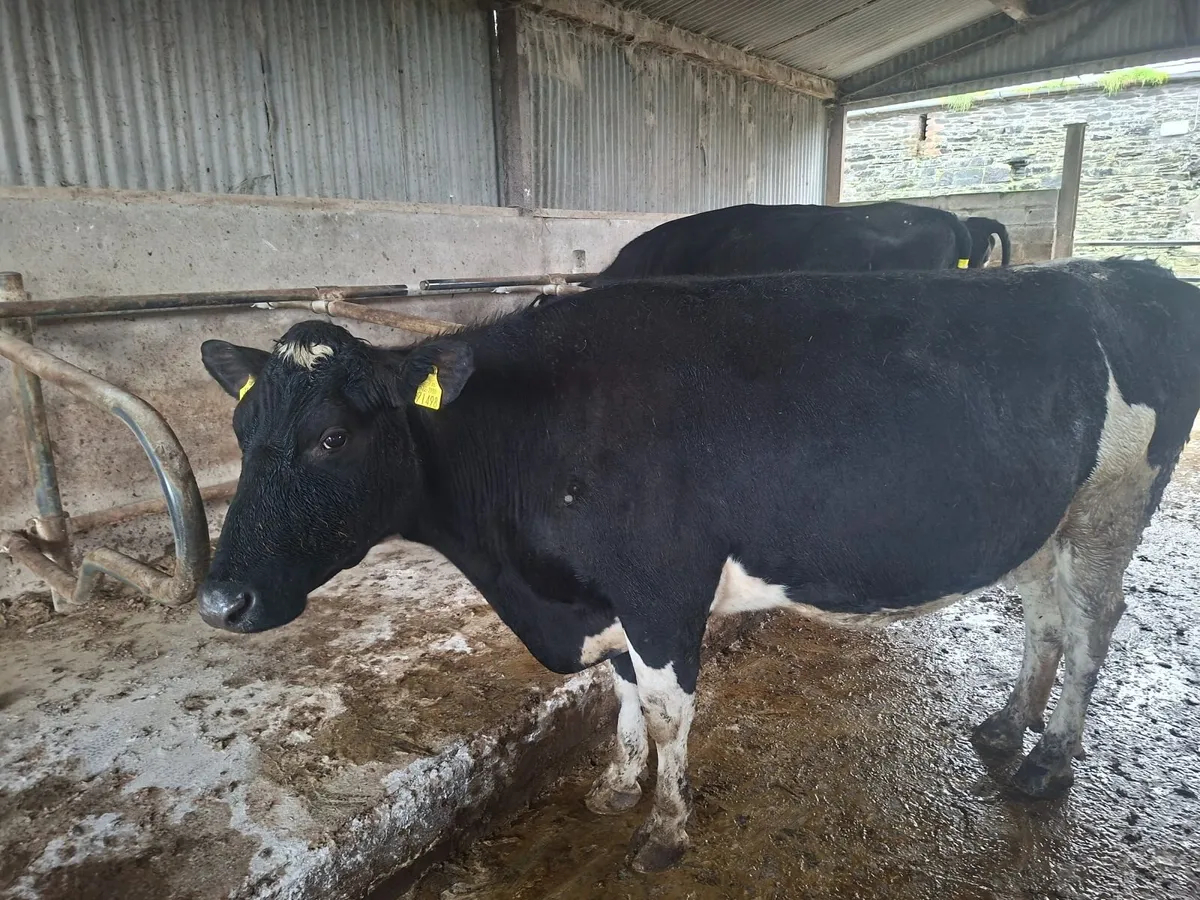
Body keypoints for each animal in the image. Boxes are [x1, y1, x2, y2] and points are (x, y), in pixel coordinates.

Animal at [197, 259, 1200, 874]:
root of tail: (1131, 272)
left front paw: (665, 831)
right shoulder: (599, 598)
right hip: (1043, 521)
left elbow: (667, 711)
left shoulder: (661, 587)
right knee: (1044, 615)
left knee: (1093, 621)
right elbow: (618, 695)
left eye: (330, 438)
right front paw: (614, 789)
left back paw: (1051, 759)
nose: (218, 598)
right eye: (241, 431)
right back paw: (1005, 726)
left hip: (1113, 504)